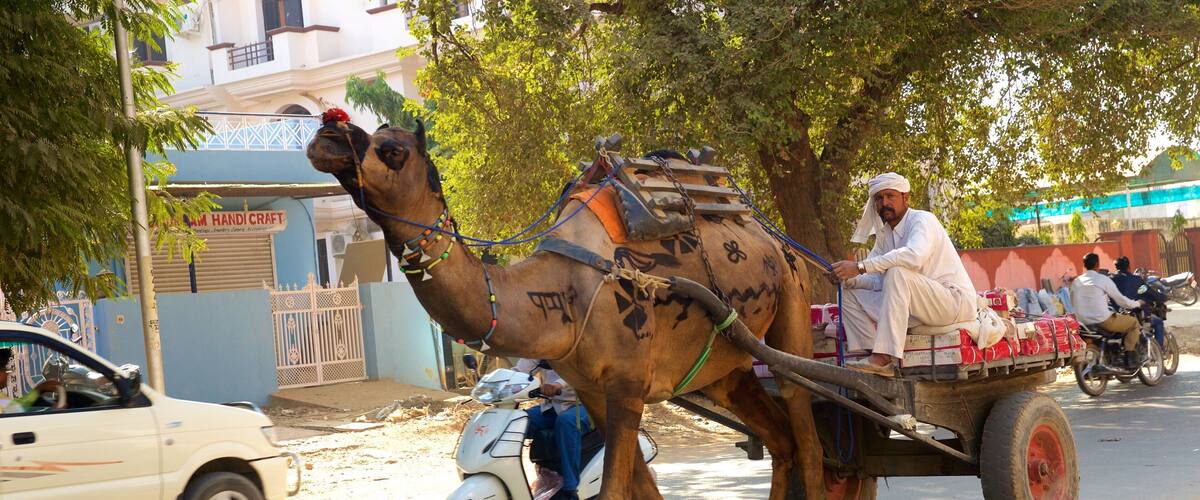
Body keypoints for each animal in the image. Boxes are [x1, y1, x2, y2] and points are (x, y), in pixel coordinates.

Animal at [306, 115, 826, 500]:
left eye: (392, 150)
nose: (326, 134)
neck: (563, 295)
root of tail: (776, 240)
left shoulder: (628, 385)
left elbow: (615, 489)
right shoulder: (593, 389)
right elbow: (642, 488)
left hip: (793, 303)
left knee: (809, 438)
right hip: (725, 371)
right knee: (781, 441)